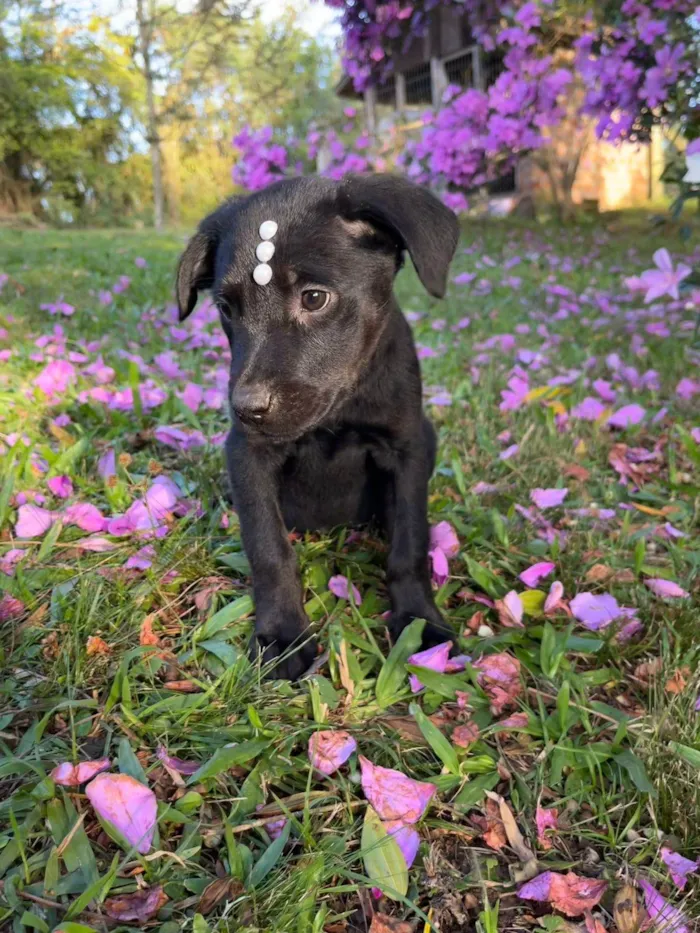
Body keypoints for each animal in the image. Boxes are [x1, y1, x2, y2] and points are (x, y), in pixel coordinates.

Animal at [176, 173, 460, 676]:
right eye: (227, 308)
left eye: (314, 298)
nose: (246, 409)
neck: (337, 410)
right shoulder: (248, 455)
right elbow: (269, 549)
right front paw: (283, 634)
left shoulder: (406, 447)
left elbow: (409, 543)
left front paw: (419, 622)